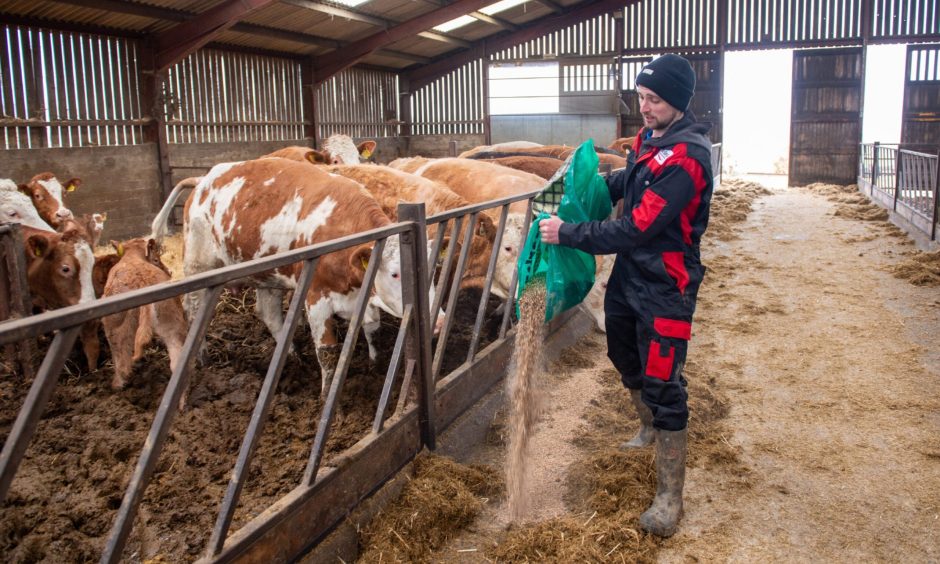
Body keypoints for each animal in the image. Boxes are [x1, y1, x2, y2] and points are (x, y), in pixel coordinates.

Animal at [102, 238, 188, 400]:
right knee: (177, 363)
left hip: (115, 328)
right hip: (172, 324)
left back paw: (116, 386)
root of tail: (142, 282)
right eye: (156, 259)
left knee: (122, 365)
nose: (170, 271)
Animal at [151, 156, 436, 396]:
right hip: (198, 264)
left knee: (268, 313)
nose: (440, 319)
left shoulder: (362, 295)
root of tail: (203, 179)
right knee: (193, 309)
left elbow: (372, 329)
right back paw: (203, 357)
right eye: (395, 274)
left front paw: (375, 366)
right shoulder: (316, 298)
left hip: (266, 276)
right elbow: (328, 352)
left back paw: (292, 357)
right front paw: (326, 395)